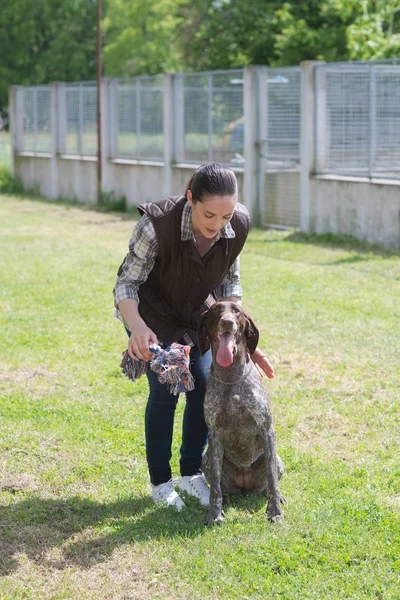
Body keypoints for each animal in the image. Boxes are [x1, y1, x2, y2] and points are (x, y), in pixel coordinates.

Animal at [198, 302, 282, 524]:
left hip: (277, 459)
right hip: (206, 460)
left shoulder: (267, 430)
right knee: (220, 486)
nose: (227, 322)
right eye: (216, 310)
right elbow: (215, 488)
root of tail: (245, 489)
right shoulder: (214, 436)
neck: (231, 379)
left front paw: (275, 511)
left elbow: (272, 480)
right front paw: (215, 514)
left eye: (236, 311)